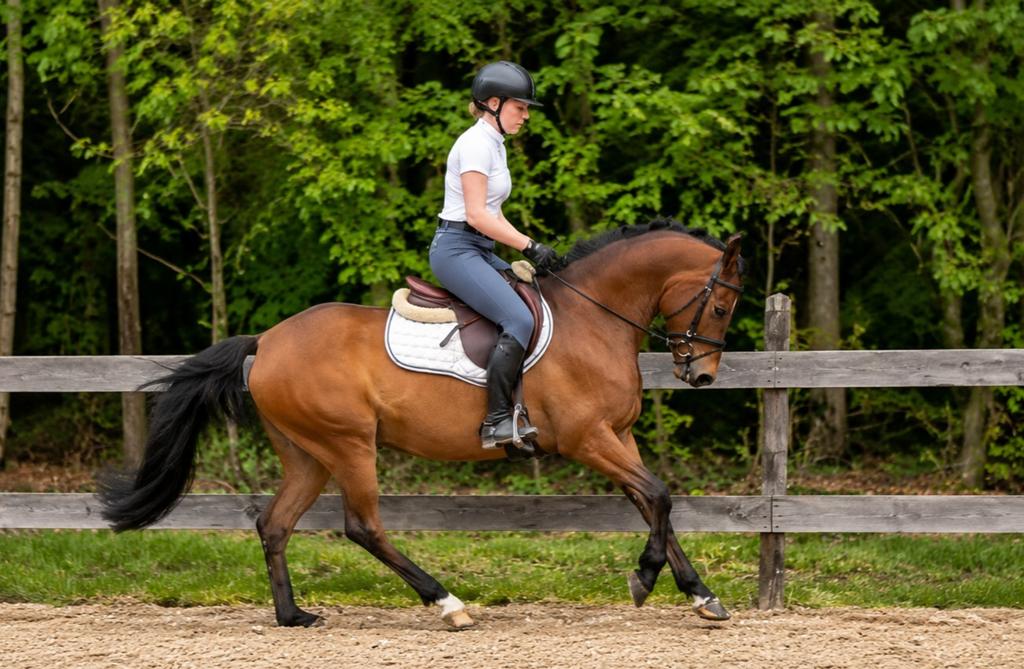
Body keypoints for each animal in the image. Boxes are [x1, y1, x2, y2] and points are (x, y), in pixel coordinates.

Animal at [99, 218, 744, 629]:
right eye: (720, 305)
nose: (701, 374)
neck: (593, 318)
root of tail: (268, 340)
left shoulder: (618, 435)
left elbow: (654, 502)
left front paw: (701, 596)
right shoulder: (589, 439)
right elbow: (657, 496)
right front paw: (646, 578)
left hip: (308, 453)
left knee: (274, 524)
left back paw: (292, 616)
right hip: (349, 445)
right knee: (363, 527)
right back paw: (448, 604)